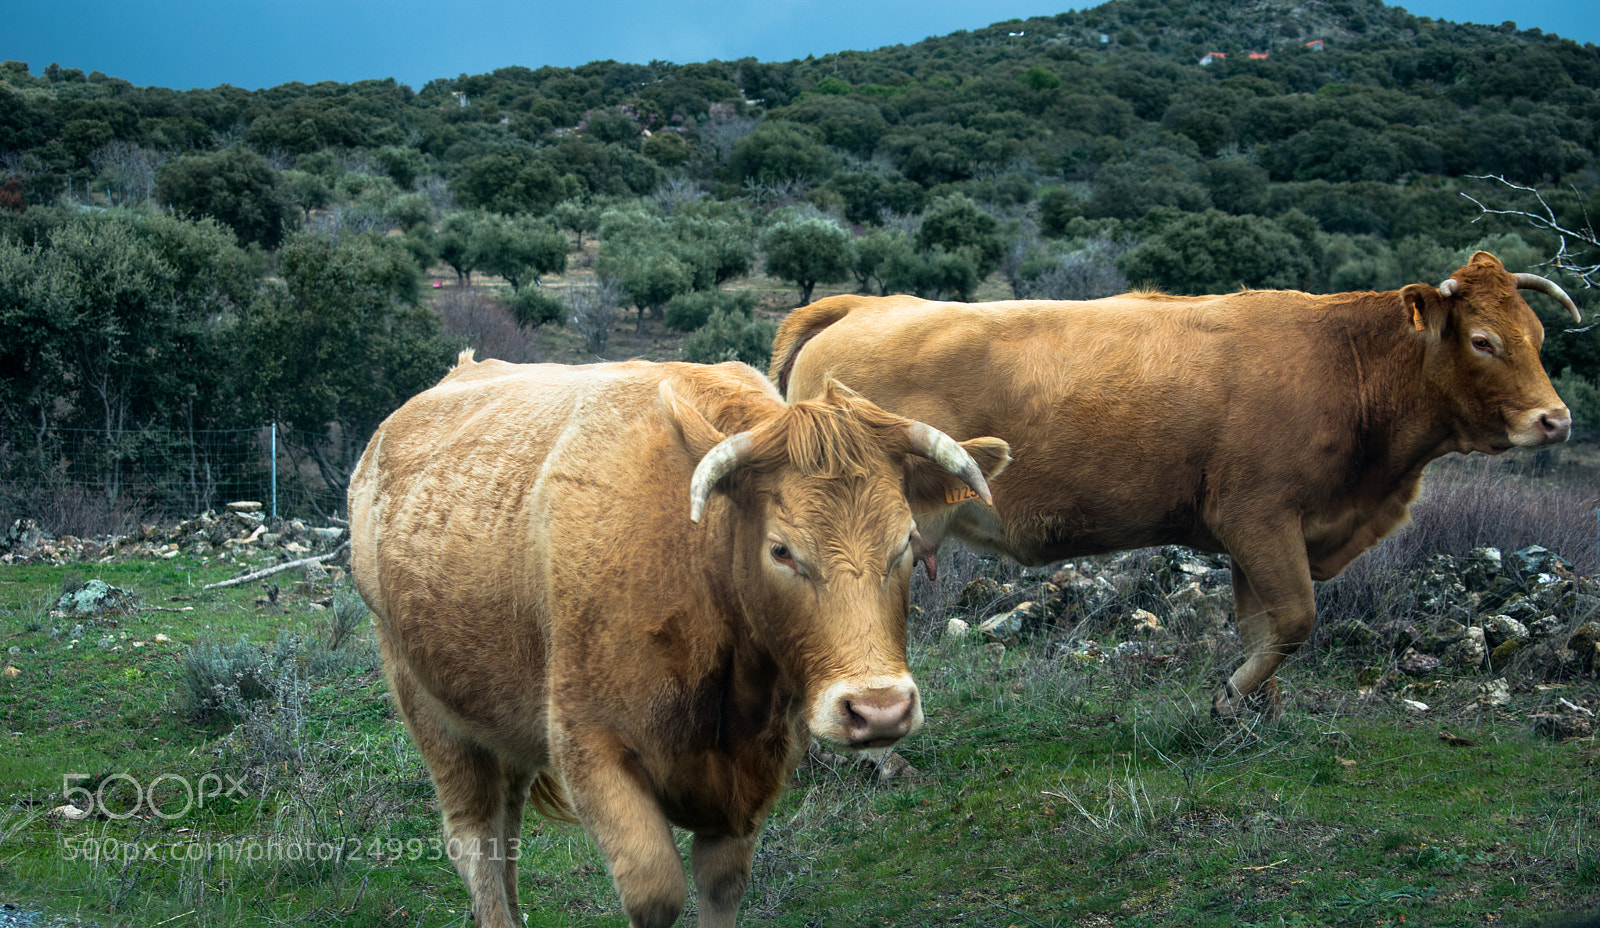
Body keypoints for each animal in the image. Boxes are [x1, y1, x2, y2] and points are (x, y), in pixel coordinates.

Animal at [348, 353, 1009, 928]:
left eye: (907, 542)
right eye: (781, 550)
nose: (879, 710)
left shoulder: (754, 769)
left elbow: (721, 887)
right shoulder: (590, 749)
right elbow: (655, 889)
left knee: (505, 834)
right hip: (431, 710)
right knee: (478, 842)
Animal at [770, 251, 1580, 718]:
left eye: (1540, 336)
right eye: (1483, 341)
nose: (1557, 420)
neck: (1344, 365)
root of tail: (864, 306)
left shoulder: (1261, 537)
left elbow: (1264, 626)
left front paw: (1259, 718)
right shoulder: (1261, 517)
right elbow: (1294, 621)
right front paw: (1229, 700)